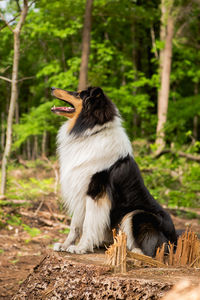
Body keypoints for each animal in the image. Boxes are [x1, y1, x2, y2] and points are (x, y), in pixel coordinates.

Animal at [51, 85, 177, 256]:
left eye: (78, 94)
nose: (52, 88)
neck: (92, 132)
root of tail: (175, 240)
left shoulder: (96, 192)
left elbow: (88, 224)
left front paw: (80, 248)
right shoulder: (81, 190)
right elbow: (75, 225)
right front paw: (65, 245)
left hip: (136, 214)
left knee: (148, 251)